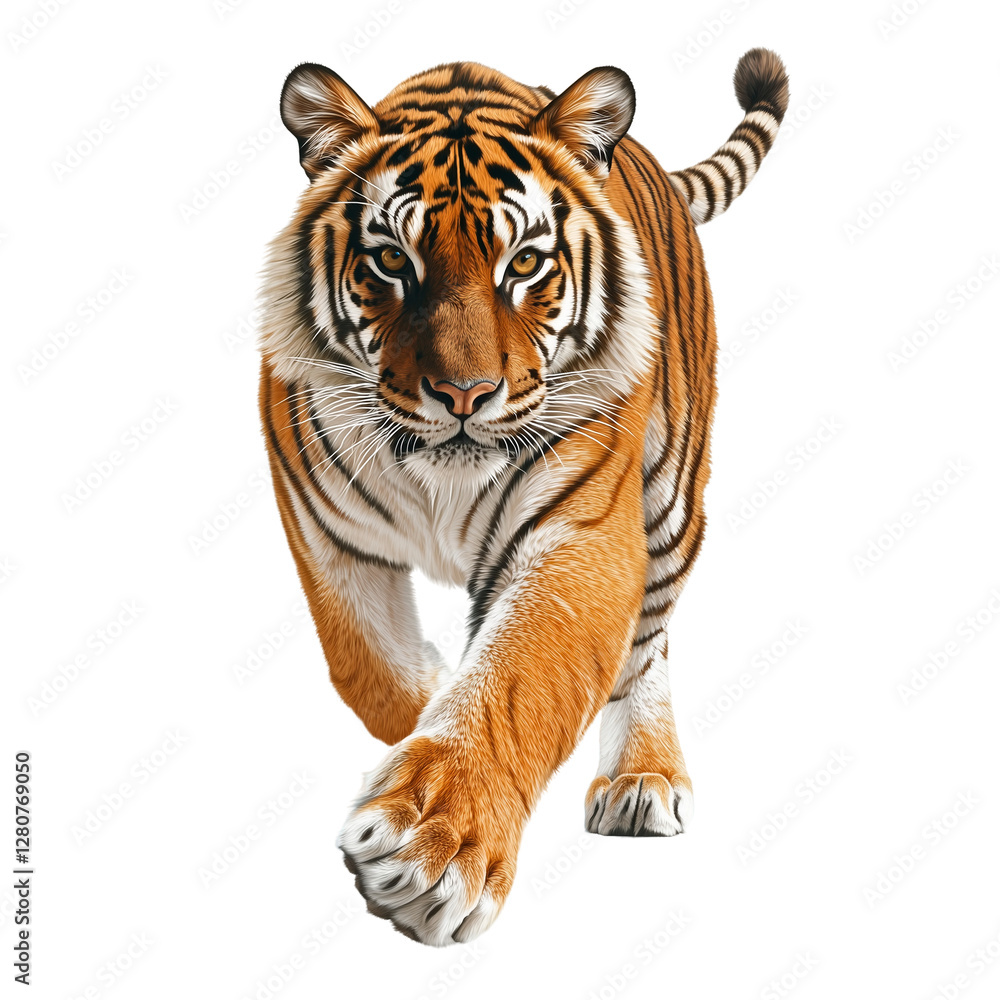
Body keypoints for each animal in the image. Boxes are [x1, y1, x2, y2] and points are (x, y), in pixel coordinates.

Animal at [258, 48, 788, 945]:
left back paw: (641, 780)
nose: (464, 395)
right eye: (391, 262)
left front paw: (432, 846)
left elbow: (519, 675)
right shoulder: (324, 535)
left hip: (672, 498)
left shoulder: (579, 532)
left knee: (651, 640)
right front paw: (425, 719)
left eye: (527, 264)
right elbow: (370, 668)